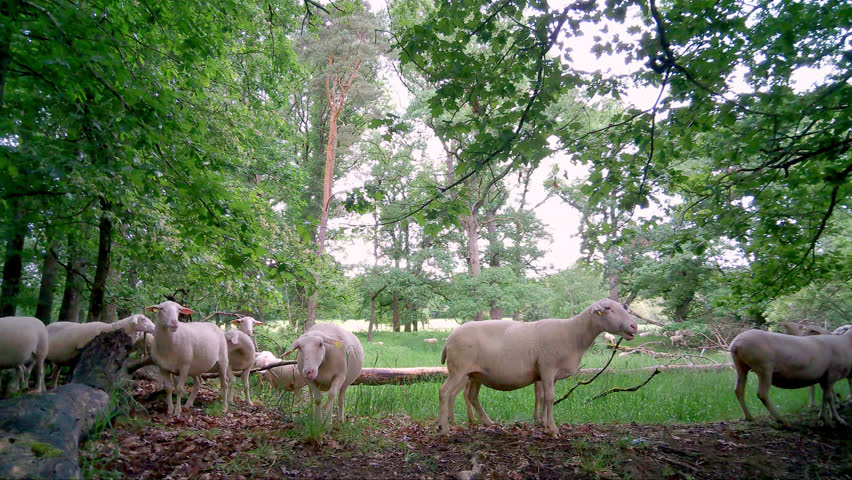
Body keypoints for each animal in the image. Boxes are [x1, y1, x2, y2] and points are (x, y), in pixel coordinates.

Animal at [438, 298, 638, 437]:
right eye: (609, 309)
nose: (634, 326)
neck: (573, 334)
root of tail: (449, 339)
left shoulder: (547, 375)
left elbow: (542, 398)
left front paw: (544, 423)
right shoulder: (548, 368)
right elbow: (550, 398)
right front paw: (553, 430)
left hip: (475, 373)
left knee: (471, 395)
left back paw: (486, 422)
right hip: (459, 369)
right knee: (445, 392)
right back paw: (445, 428)